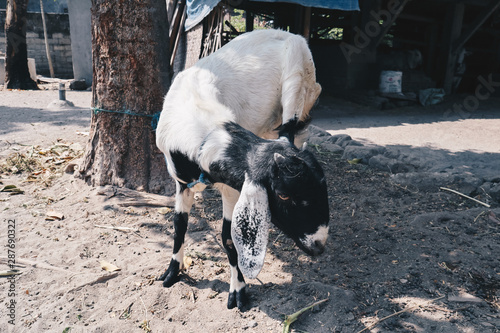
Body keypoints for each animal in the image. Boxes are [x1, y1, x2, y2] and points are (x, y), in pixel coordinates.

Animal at [156, 29, 328, 308]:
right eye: (283, 195)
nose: (319, 245)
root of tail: (290, 34)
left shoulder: (232, 188)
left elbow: (229, 238)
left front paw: (238, 291)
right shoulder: (181, 184)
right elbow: (179, 224)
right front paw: (172, 272)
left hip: (300, 90)